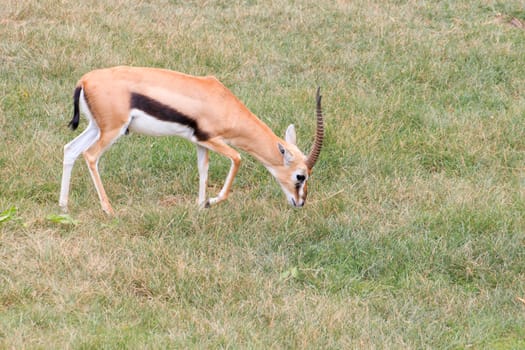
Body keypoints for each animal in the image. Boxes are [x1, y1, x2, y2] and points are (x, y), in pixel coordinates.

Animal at [61, 65, 324, 213]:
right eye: (300, 176)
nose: (300, 203)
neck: (222, 102)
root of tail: (84, 81)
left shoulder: (200, 142)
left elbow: (203, 169)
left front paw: (199, 206)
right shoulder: (212, 139)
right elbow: (237, 158)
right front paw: (209, 203)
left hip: (96, 128)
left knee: (70, 149)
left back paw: (63, 207)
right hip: (112, 131)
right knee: (90, 155)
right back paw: (108, 210)